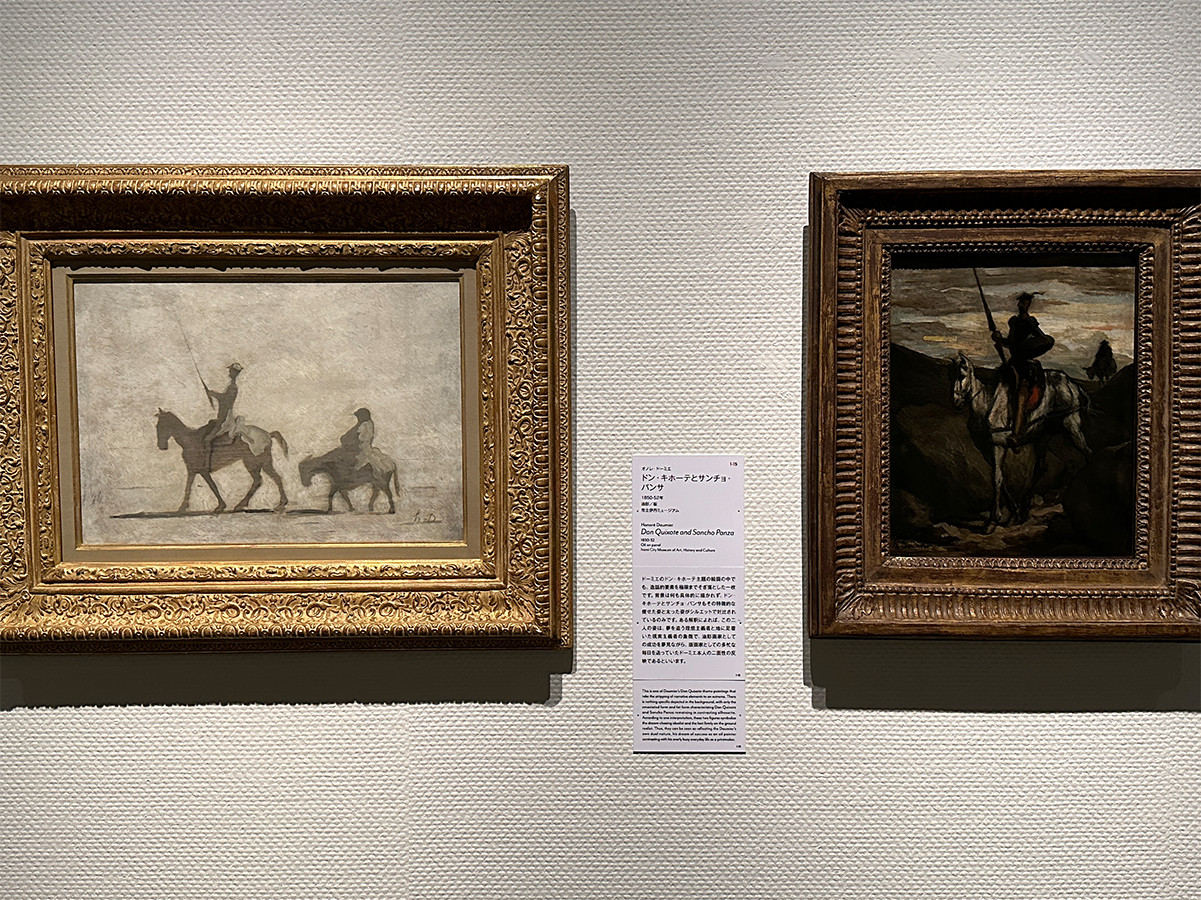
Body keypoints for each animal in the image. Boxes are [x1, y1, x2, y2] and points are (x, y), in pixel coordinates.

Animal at [155, 409, 289, 513]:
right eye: (157, 426)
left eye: (162, 426)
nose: (161, 446)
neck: (189, 441)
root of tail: (268, 434)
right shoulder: (192, 470)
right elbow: (188, 487)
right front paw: (183, 507)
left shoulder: (203, 471)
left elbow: (212, 486)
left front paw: (220, 506)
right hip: (259, 463)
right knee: (268, 479)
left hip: (254, 463)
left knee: (266, 479)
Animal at [951, 352, 1090, 530]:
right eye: (951, 376)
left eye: (961, 375)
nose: (956, 402)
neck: (987, 404)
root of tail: (1073, 385)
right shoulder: (986, 448)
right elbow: (1000, 477)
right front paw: (1013, 513)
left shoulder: (998, 446)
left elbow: (997, 478)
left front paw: (993, 520)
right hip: (1043, 435)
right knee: (1040, 468)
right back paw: (1023, 511)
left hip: (1071, 425)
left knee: (1088, 453)